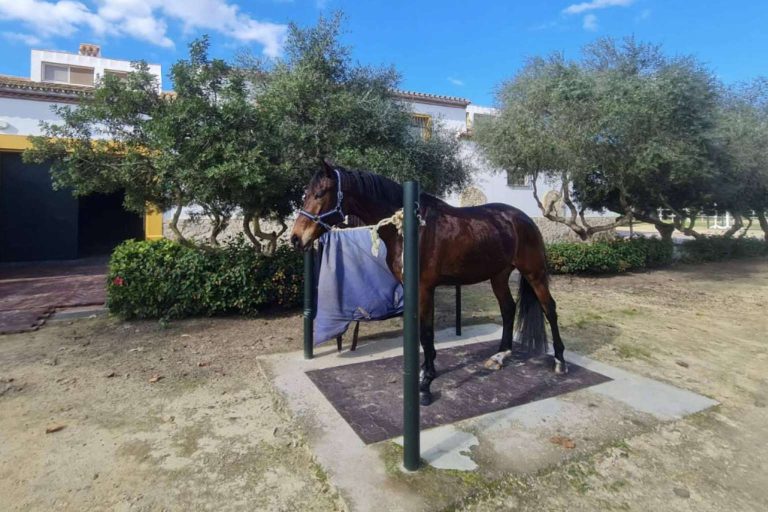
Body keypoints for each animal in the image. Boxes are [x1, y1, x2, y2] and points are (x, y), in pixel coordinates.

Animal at [290, 160, 567, 406]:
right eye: (306, 194)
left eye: (320, 193)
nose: (295, 239)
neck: (408, 228)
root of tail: (523, 219)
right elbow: (422, 334)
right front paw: (425, 372)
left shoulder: (424, 289)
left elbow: (425, 333)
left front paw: (425, 385)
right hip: (498, 276)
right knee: (509, 309)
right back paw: (500, 356)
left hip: (534, 273)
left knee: (550, 309)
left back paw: (560, 362)